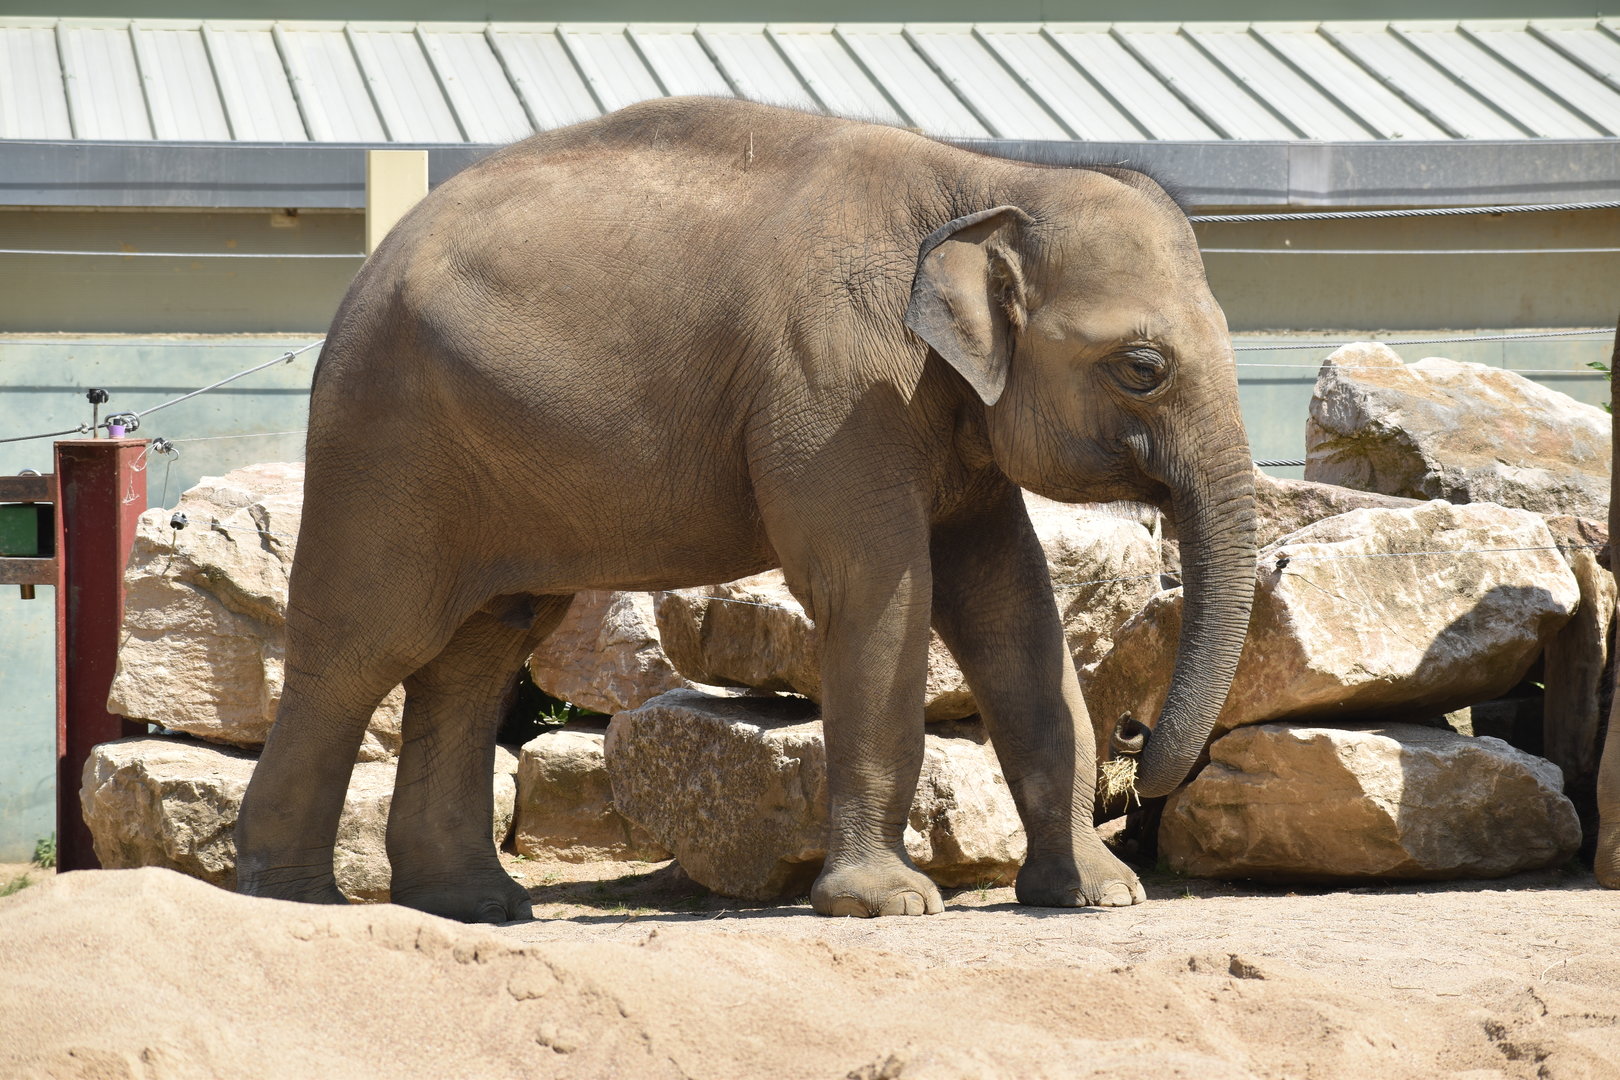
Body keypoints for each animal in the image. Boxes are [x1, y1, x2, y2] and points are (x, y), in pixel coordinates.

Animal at [234, 96, 1258, 922]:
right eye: (1142, 367)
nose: (1135, 735)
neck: (989, 179)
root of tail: (364, 274)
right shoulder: (832, 389)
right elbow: (875, 596)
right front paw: (887, 906)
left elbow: (1013, 609)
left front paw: (1097, 895)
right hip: (384, 440)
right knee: (369, 643)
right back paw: (296, 900)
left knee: (481, 649)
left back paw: (475, 907)